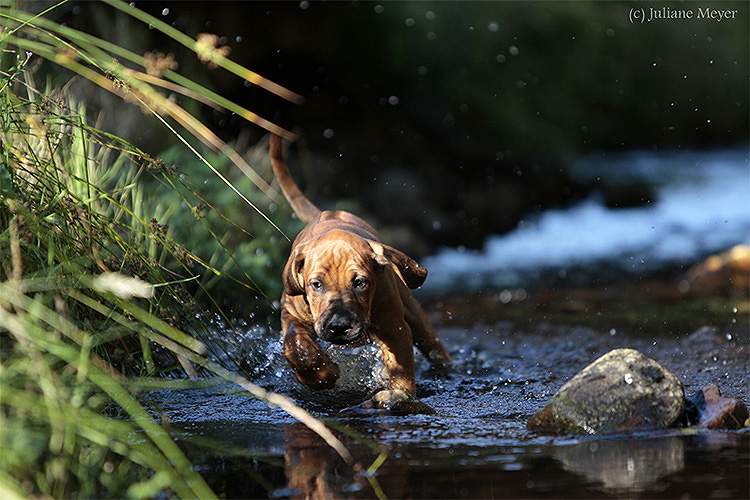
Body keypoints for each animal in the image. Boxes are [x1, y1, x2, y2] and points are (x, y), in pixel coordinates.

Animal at [270, 135, 450, 408]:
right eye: (316, 284)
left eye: (360, 283)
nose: (338, 327)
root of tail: (328, 212)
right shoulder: (290, 314)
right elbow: (297, 347)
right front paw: (322, 374)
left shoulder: (395, 329)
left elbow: (401, 371)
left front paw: (400, 398)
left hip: (415, 315)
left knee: (434, 346)